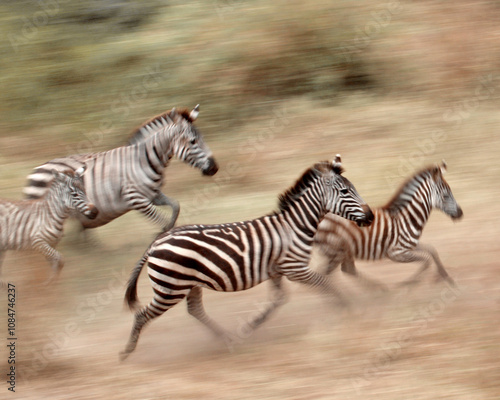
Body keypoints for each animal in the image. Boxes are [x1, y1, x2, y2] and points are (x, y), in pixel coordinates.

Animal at [22, 104, 217, 233]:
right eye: (193, 142)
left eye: (202, 138)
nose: (215, 168)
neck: (144, 160)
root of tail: (37, 169)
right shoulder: (136, 199)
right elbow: (160, 218)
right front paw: (163, 234)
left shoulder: (153, 195)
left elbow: (175, 206)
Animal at [119, 155, 374, 360]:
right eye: (345, 192)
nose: (371, 217)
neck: (294, 226)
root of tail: (156, 242)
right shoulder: (294, 268)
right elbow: (325, 283)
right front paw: (349, 307)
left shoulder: (277, 270)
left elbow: (277, 300)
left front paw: (250, 326)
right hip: (170, 288)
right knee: (142, 315)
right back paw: (126, 353)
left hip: (189, 284)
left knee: (194, 310)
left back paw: (228, 339)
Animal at [314, 161, 462, 290]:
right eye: (446, 196)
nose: (460, 213)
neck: (408, 218)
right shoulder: (396, 253)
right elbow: (426, 261)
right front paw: (408, 284)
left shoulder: (410, 246)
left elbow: (432, 251)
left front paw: (446, 277)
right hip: (337, 250)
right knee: (329, 273)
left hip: (341, 251)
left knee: (345, 270)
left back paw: (378, 292)